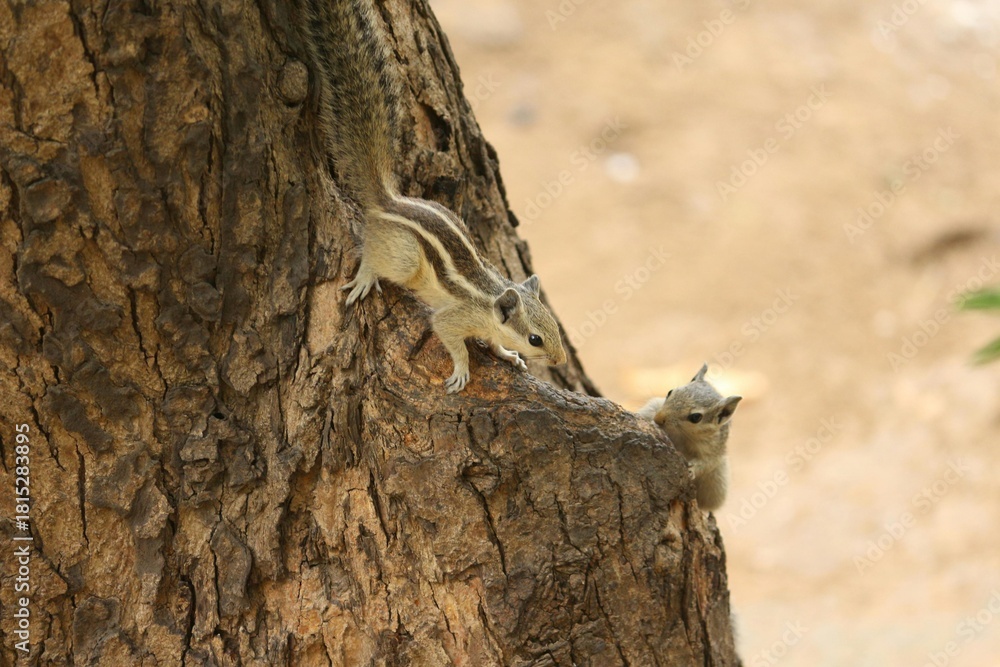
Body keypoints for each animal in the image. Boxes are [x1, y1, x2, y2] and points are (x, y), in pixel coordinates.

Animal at [300, 0, 567, 393]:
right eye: (536, 338)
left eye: (555, 327)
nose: (560, 360)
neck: (489, 302)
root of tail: (387, 202)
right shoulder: (453, 319)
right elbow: (452, 339)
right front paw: (462, 370)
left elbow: (495, 344)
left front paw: (507, 355)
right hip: (404, 257)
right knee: (372, 255)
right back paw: (365, 278)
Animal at [637, 363, 741, 511]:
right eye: (670, 392)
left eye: (695, 417)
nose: (658, 419)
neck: (683, 434)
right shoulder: (655, 405)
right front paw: (649, 420)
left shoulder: (713, 449)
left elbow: (707, 463)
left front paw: (691, 469)